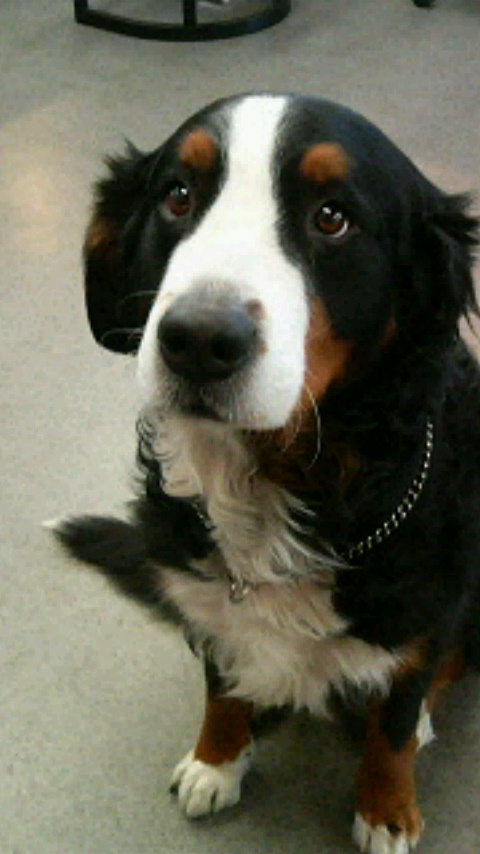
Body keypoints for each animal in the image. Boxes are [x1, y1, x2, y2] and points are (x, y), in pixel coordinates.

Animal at [52, 93, 480, 853]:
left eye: (333, 217)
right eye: (177, 196)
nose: (199, 340)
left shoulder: (426, 606)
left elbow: (395, 722)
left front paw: (386, 808)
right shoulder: (207, 598)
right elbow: (221, 685)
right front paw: (217, 759)